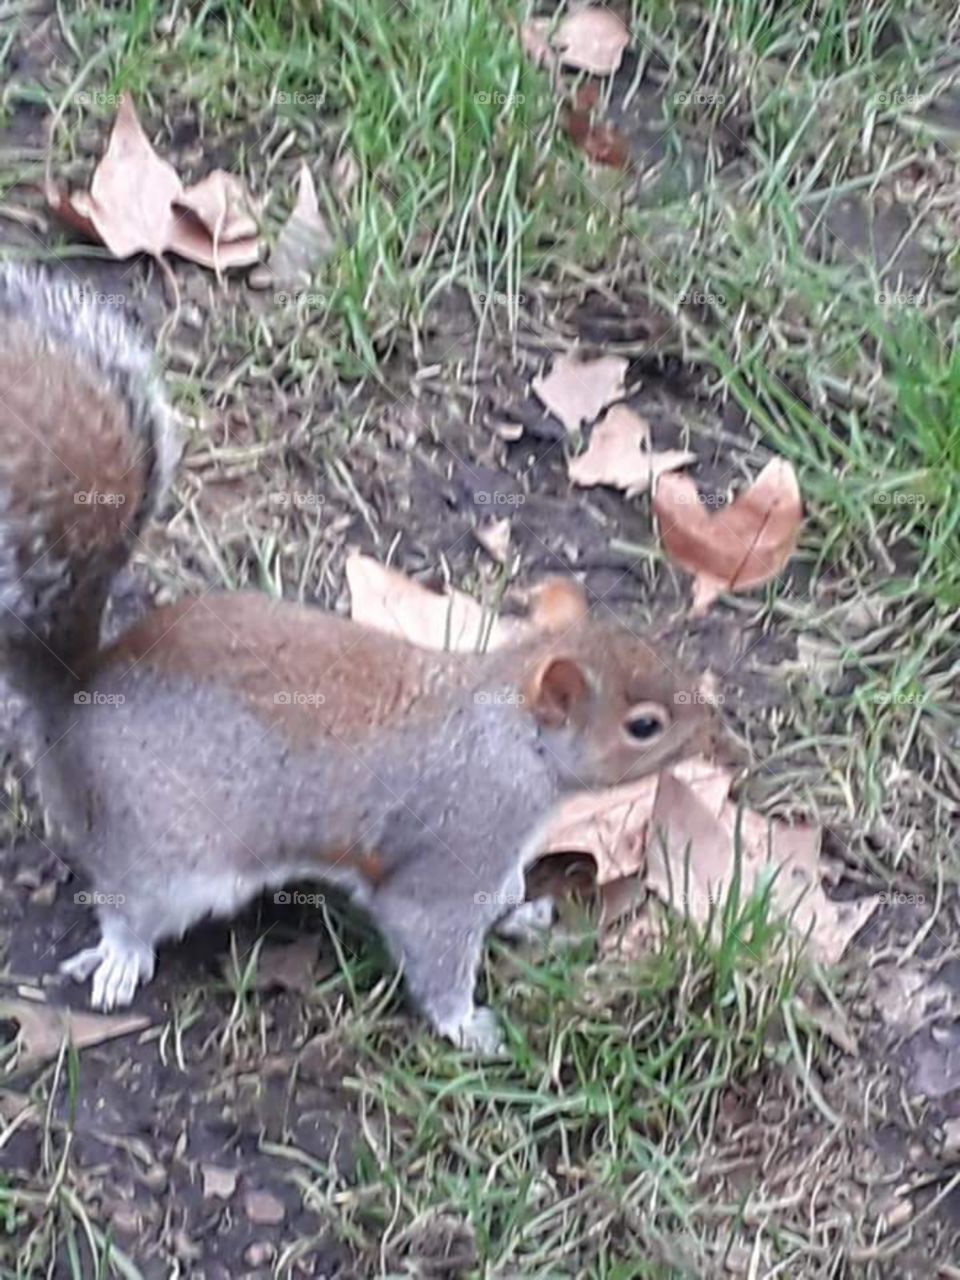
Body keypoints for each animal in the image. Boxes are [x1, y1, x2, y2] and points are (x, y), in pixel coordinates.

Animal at [0, 264, 716, 1054]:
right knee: (128, 906)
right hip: (160, 854)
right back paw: (122, 955)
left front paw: (521, 914)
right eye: (644, 726)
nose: (715, 729)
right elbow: (432, 937)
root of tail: (73, 697)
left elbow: (500, 896)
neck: (509, 734)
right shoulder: (456, 845)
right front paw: (469, 1027)